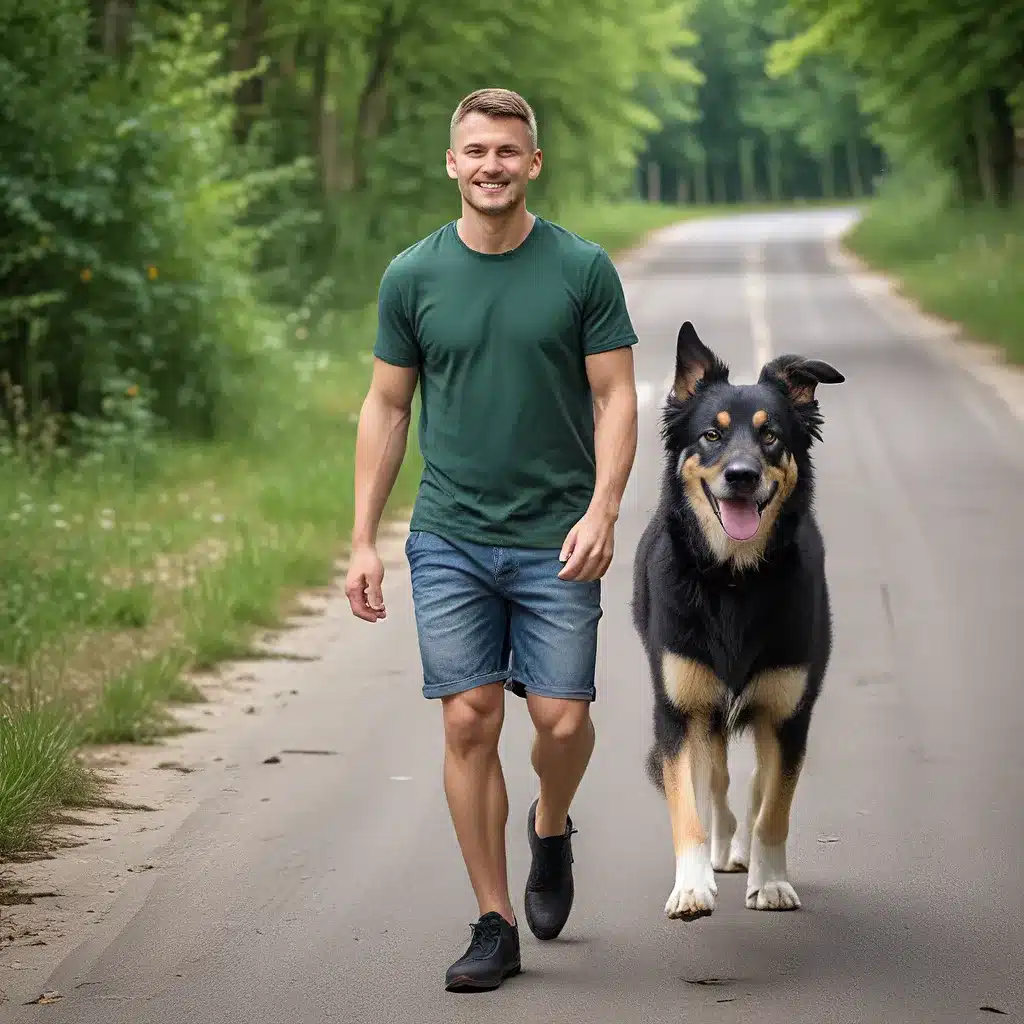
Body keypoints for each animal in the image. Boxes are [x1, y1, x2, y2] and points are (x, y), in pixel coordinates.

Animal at [630, 317, 847, 921]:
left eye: (771, 436)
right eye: (711, 435)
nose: (742, 476)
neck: (733, 579)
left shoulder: (789, 714)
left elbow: (774, 807)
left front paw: (770, 883)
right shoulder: (679, 711)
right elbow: (688, 803)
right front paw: (691, 885)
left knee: (753, 785)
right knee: (719, 782)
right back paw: (721, 852)